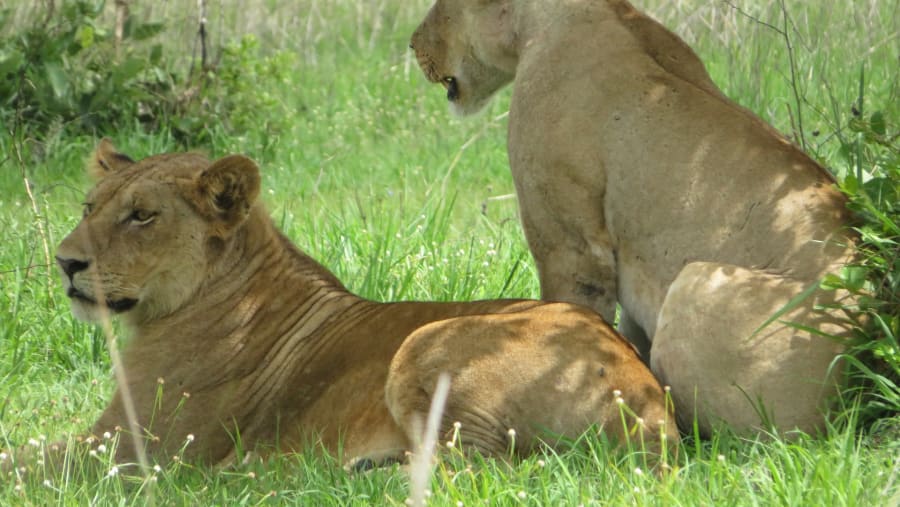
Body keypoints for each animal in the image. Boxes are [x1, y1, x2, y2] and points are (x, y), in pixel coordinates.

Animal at [29, 140, 675, 470]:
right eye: (89, 207)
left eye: (141, 215)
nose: (65, 262)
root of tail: (649, 402)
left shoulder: (139, 453)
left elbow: (27, 466)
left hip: (426, 343)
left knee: (466, 470)